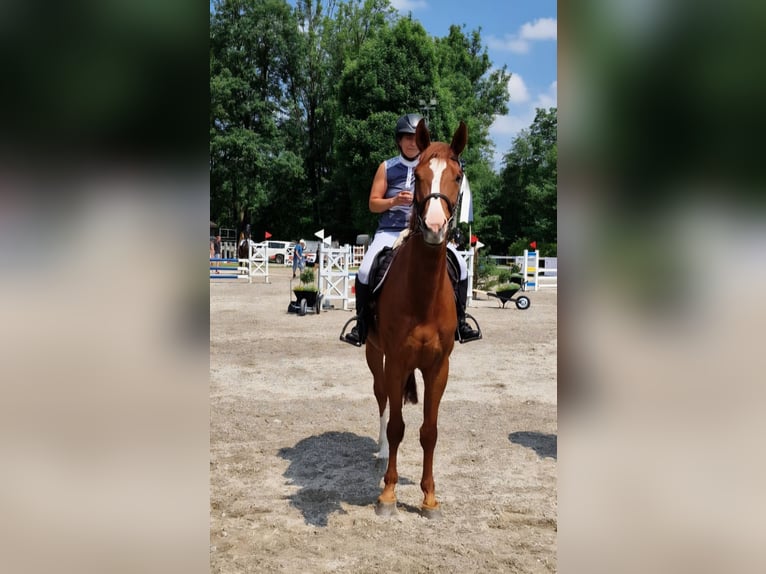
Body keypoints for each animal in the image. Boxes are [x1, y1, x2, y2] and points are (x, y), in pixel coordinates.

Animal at [365, 120, 467, 519]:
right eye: (419, 176)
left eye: (457, 176)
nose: (435, 226)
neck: (422, 294)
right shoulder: (395, 361)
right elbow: (397, 426)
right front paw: (388, 494)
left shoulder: (439, 367)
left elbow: (429, 431)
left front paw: (429, 497)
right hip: (374, 355)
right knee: (381, 400)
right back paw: (379, 452)